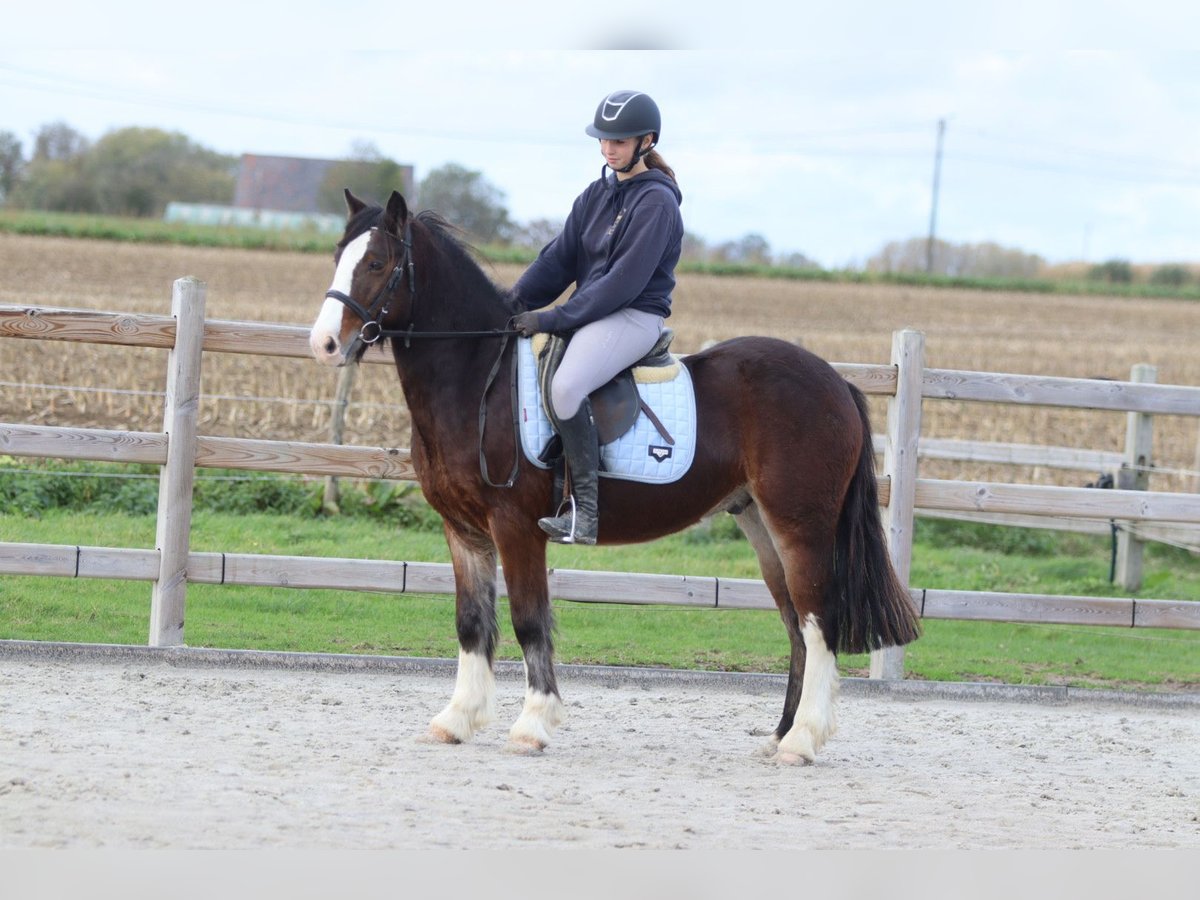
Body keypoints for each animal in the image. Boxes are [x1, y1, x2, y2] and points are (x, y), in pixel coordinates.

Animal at [308, 189, 920, 765]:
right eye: (339, 256)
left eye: (379, 263)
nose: (324, 345)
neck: (478, 379)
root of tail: (835, 382)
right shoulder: (463, 531)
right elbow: (471, 623)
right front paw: (456, 720)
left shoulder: (516, 528)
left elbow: (529, 620)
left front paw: (532, 726)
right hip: (762, 527)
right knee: (796, 626)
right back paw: (780, 736)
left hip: (801, 528)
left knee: (818, 623)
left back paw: (803, 741)